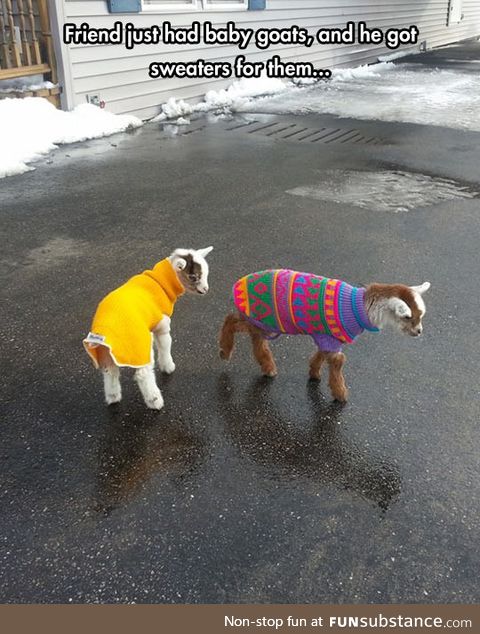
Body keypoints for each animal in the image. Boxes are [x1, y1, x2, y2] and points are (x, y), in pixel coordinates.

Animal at [83, 244, 213, 408]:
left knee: (110, 372)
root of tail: (103, 329)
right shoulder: (162, 324)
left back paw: (113, 397)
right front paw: (168, 367)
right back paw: (155, 401)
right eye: (193, 277)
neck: (161, 280)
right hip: (140, 344)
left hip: (105, 351)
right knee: (143, 374)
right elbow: (165, 345)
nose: (206, 289)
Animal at [219, 268, 430, 400]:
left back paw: (267, 366)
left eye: (421, 315)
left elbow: (322, 354)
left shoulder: (327, 335)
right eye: (407, 317)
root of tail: (238, 284)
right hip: (264, 317)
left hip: (263, 322)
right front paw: (340, 394)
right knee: (232, 320)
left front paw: (314, 373)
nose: (419, 331)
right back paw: (225, 350)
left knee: (256, 338)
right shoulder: (330, 337)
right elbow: (338, 362)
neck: (359, 306)